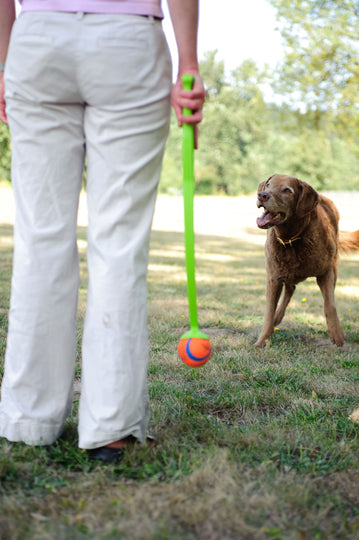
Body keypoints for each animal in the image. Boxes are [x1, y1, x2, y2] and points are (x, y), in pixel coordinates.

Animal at [255, 175, 359, 348]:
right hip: (286, 272)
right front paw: (262, 340)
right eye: (268, 185)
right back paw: (278, 316)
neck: (291, 239)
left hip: (334, 266)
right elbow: (269, 311)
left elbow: (330, 305)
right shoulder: (273, 277)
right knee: (289, 290)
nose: (262, 195)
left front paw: (337, 335)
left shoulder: (326, 273)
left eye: (287, 190)